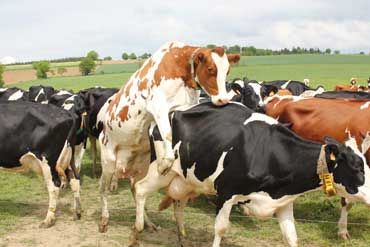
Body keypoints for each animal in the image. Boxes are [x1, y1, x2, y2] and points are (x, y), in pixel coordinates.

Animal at [97, 41, 240, 233]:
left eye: (228, 71)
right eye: (211, 69)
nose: (223, 100)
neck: (180, 67)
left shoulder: (185, 106)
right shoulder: (157, 106)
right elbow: (167, 133)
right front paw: (165, 162)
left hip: (141, 166)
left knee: (136, 189)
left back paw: (147, 223)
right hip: (108, 162)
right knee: (103, 189)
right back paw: (104, 219)